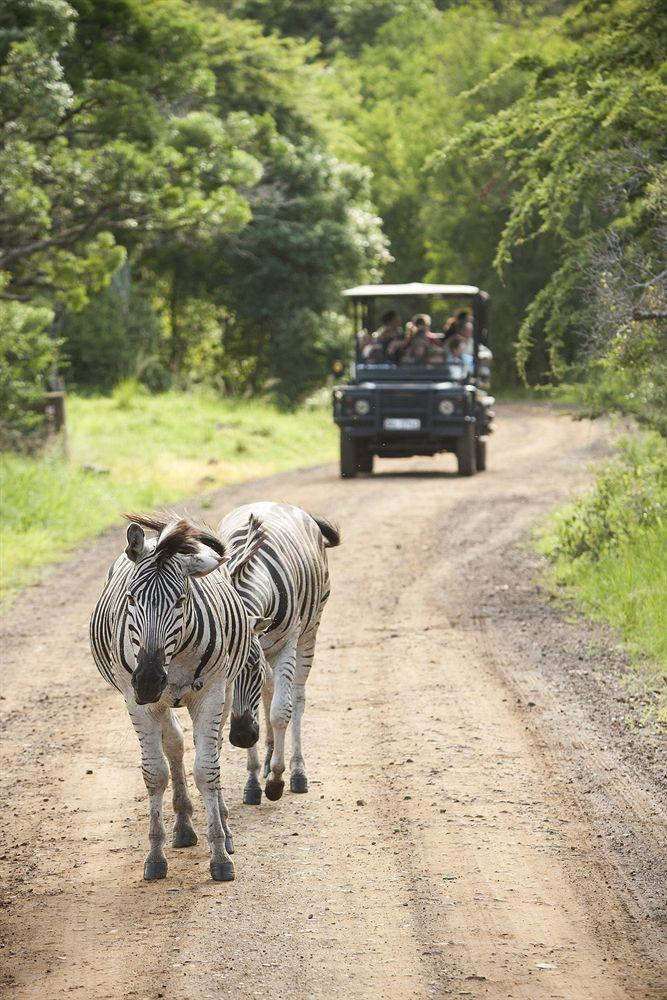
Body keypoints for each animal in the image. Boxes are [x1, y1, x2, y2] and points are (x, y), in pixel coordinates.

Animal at [89, 516, 266, 884]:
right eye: (131, 598)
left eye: (181, 600)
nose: (148, 680)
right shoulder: (137, 702)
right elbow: (155, 774)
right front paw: (155, 857)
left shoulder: (211, 693)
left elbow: (208, 771)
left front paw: (220, 856)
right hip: (162, 702)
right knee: (175, 745)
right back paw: (183, 827)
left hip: (225, 691)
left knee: (208, 749)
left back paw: (223, 827)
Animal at [222, 500, 342, 804]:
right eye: (227, 675)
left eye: (252, 668)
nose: (242, 736)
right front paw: (253, 781)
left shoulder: (287, 644)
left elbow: (280, 711)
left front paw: (277, 779)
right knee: (268, 691)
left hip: (309, 634)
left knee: (296, 698)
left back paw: (298, 772)